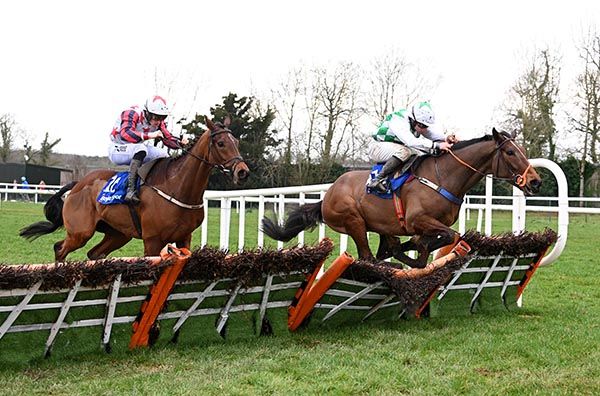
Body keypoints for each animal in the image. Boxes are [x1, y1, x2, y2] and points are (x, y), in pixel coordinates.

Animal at [19, 117, 247, 262]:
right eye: (220, 143)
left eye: (236, 141)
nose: (242, 171)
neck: (178, 188)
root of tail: (77, 184)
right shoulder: (152, 241)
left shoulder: (185, 237)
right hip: (80, 232)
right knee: (60, 249)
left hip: (118, 234)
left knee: (94, 254)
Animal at [264, 128, 544, 268]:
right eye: (510, 152)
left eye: (522, 150)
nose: (535, 181)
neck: (444, 177)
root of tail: (327, 196)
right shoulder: (417, 220)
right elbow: (448, 237)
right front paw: (420, 249)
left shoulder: (421, 225)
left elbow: (437, 241)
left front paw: (417, 248)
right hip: (353, 220)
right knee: (368, 257)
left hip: (381, 225)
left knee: (384, 249)